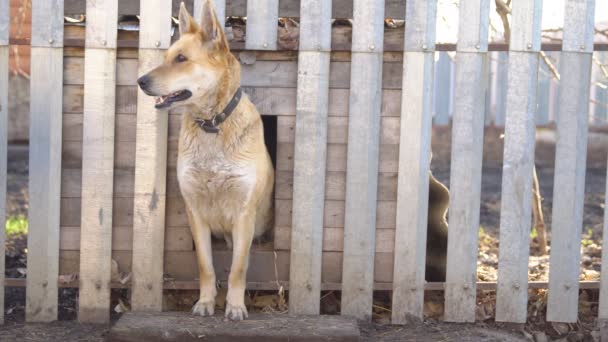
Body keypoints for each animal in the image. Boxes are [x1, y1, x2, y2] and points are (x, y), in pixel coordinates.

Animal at [138, 0, 274, 320]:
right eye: (167, 57)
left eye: (182, 59)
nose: (140, 81)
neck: (212, 124)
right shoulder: (195, 213)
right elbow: (205, 266)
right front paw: (205, 302)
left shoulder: (244, 215)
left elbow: (238, 268)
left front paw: (234, 305)